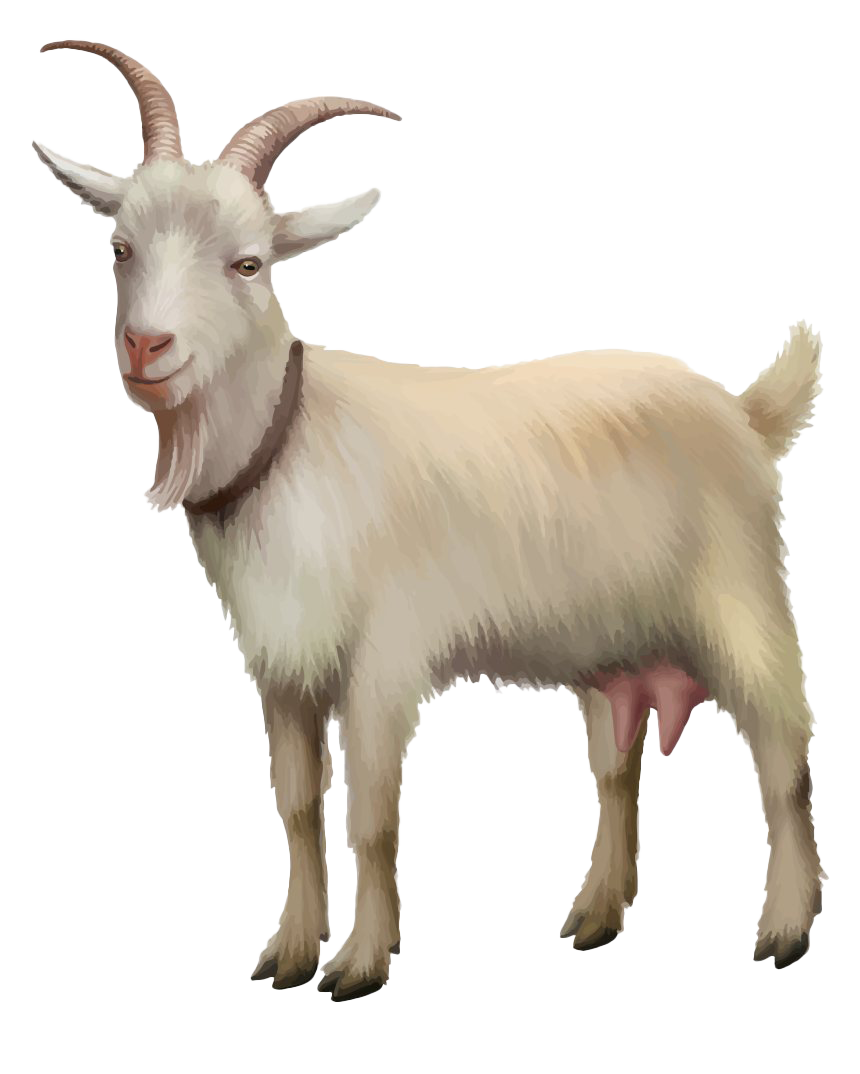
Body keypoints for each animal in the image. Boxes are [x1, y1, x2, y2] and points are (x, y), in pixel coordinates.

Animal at [35, 40, 824, 1001]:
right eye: (120, 246)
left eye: (249, 263)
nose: (147, 348)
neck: (297, 442)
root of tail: (748, 410)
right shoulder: (281, 667)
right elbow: (296, 805)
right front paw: (289, 949)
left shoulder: (384, 658)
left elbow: (371, 816)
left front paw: (359, 962)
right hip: (611, 648)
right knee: (616, 765)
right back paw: (597, 912)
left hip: (740, 591)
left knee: (783, 750)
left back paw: (786, 926)